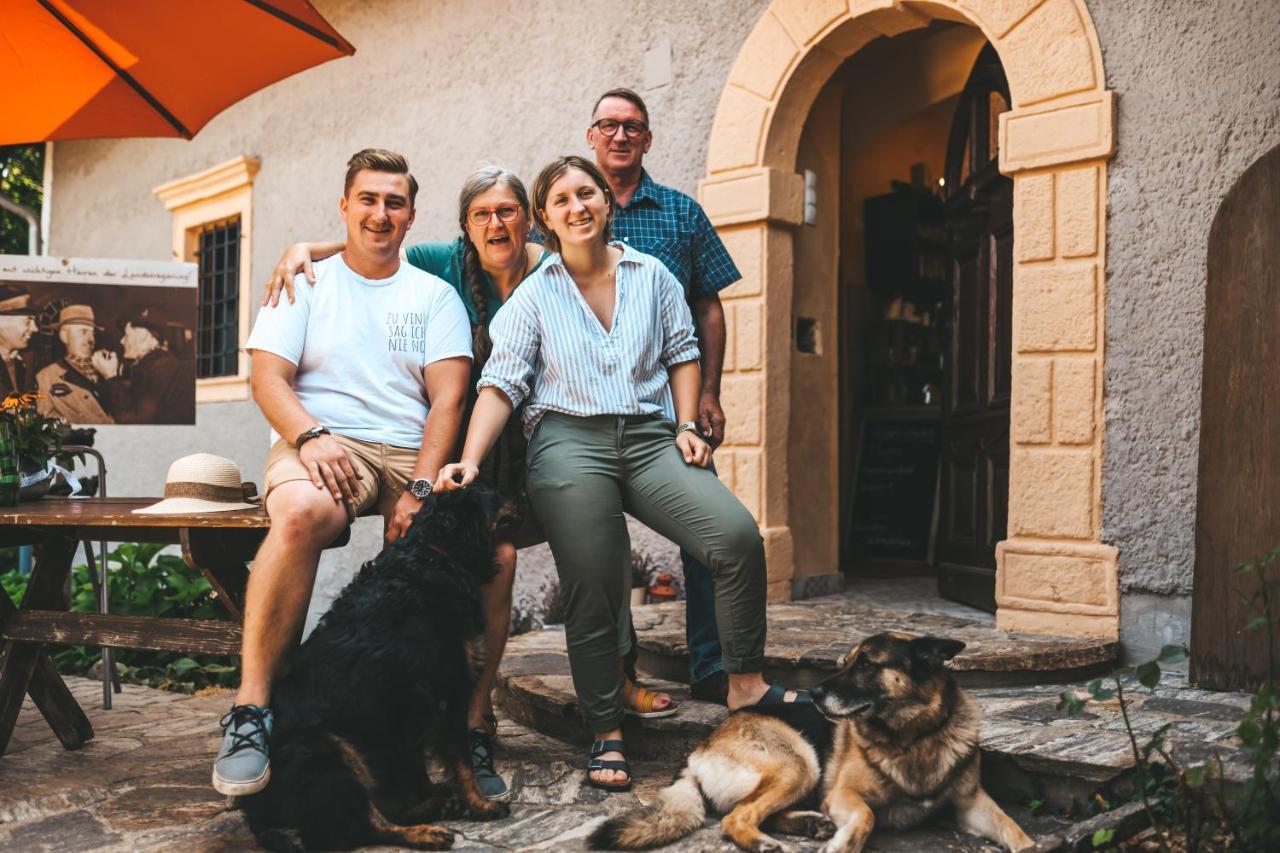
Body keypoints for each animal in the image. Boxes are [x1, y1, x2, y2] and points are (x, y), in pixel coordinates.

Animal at [238, 489, 506, 845]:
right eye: (494, 496)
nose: (520, 495)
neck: (433, 552)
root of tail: (258, 817)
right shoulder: (447, 693)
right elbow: (461, 760)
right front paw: (480, 805)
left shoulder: (413, 708)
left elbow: (418, 763)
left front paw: (437, 794)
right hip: (328, 754)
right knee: (363, 826)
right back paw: (426, 832)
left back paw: (434, 805)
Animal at [586, 627, 1029, 845]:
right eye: (845, 662)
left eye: (866, 665)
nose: (813, 694)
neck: (912, 736)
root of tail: (698, 753)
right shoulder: (844, 794)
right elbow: (866, 816)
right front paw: (846, 842)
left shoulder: (972, 804)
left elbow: (1015, 830)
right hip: (800, 764)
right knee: (736, 816)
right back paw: (766, 841)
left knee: (754, 810)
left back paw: (808, 825)